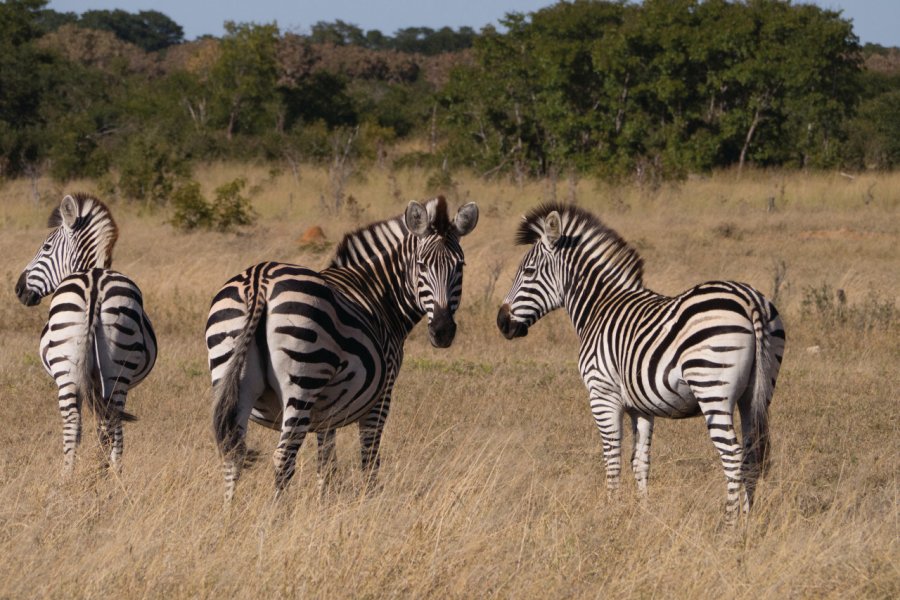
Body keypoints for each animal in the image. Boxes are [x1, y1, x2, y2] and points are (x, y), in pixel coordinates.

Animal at [15, 195, 158, 476]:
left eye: (46, 247)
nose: (19, 289)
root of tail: (94, 283)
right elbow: (102, 425)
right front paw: (101, 466)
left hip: (72, 368)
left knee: (79, 422)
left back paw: (79, 476)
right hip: (112, 369)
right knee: (108, 420)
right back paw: (106, 474)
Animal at [208, 197, 482, 502]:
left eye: (460, 266)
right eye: (422, 265)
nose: (443, 331)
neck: (378, 292)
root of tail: (259, 281)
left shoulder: (326, 409)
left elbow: (327, 463)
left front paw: (323, 504)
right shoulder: (382, 394)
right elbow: (370, 457)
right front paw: (369, 502)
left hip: (231, 376)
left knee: (233, 453)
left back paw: (230, 513)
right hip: (302, 381)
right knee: (283, 457)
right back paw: (275, 514)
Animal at [496, 204, 784, 524]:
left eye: (528, 271)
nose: (502, 322)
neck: (599, 306)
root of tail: (749, 300)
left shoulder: (602, 394)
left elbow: (612, 457)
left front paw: (610, 510)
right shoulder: (641, 406)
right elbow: (640, 460)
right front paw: (643, 512)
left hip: (712, 388)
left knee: (732, 455)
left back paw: (729, 523)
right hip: (755, 394)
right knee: (751, 453)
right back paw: (747, 518)